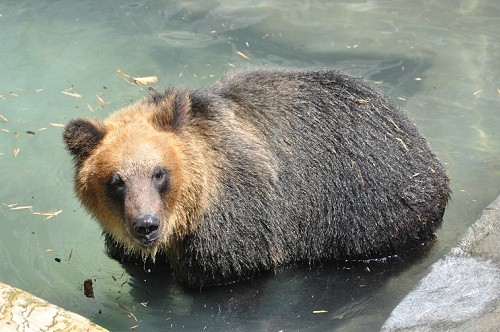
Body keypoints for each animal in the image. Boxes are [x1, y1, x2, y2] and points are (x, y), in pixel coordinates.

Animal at [64, 68, 452, 288]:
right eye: (116, 180)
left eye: (159, 173)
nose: (146, 224)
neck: (187, 217)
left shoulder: (236, 216)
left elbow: (229, 268)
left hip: (367, 200)